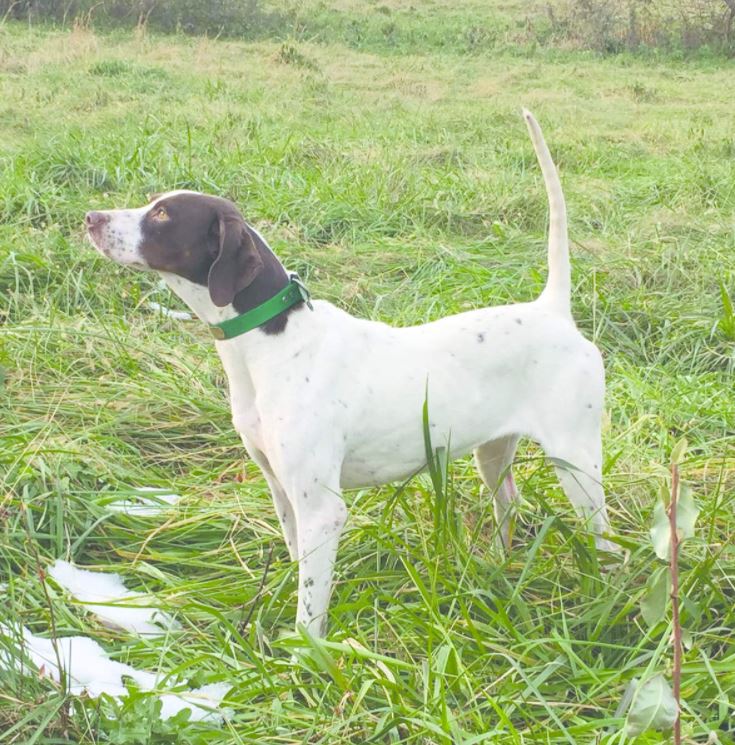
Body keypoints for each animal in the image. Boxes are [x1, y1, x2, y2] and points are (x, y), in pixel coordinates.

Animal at [85, 113, 616, 636]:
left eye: (163, 215)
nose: (91, 218)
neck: (273, 342)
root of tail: (552, 310)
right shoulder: (282, 492)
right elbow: (298, 571)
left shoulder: (322, 509)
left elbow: (310, 611)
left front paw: (304, 656)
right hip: (493, 453)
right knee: (510, 502)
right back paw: (497, 570)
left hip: (577, 463)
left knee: (605, 537)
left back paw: (603, 598)